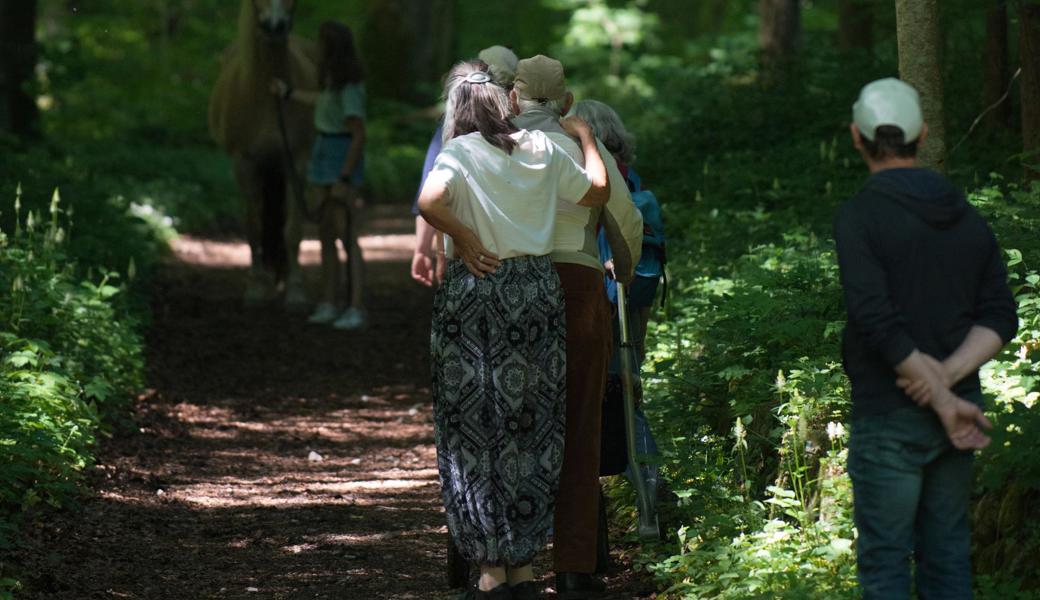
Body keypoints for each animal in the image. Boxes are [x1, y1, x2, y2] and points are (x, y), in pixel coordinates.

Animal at [205, 0, 312, 305]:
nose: (275, 26)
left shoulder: (296, 162)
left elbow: (293, 229)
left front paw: (296, 290)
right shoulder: (245, 163)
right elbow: (253, 225)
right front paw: (255, 287)